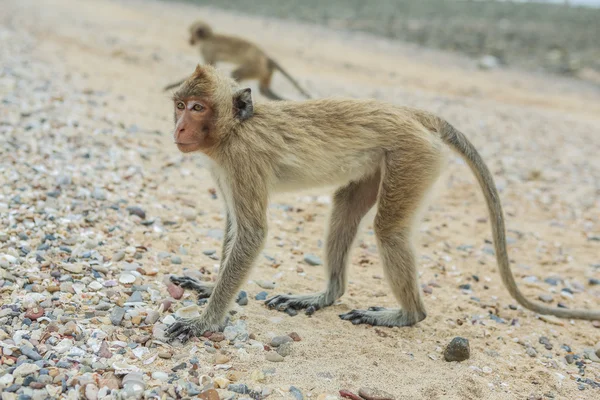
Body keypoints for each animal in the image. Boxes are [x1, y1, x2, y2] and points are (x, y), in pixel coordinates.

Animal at [162, 20, 312, 101]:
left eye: (192, 34)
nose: (190, 41)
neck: (208, 37)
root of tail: (264, 56)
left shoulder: (207, 49)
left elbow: (206, 70)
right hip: (264, 71)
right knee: (263, 89)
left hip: (255, 67)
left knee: (237, 73)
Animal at [165, 65, 600, 340]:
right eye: (181, 106)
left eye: (198, 108)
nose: (179, 129)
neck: (234, 129)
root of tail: (410, 113)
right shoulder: (224, 167)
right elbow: (233, 225)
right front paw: (209, 286)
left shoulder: (243, 159)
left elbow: (252, 233)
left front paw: (205, 323)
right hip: (380, 163)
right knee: (344, 209)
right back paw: (327, 295)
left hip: (413, 157)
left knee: (388, 230)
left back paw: (407, 315)